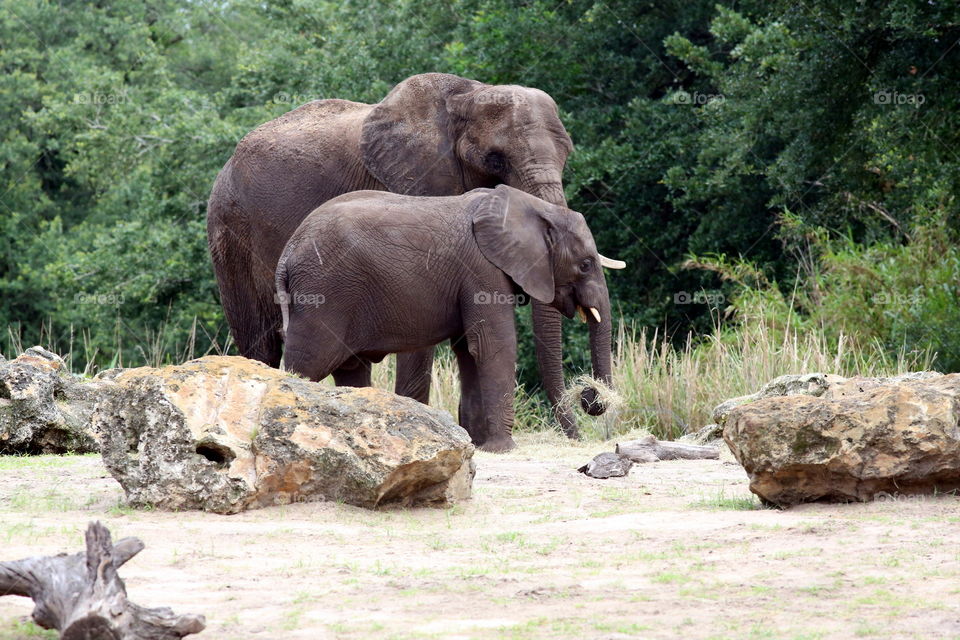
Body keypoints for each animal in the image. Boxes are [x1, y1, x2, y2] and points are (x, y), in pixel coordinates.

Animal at [276, 182, 616, 452]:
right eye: (585, 264)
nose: (590, 395)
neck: (534, 207)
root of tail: (288, 252)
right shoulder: (481, 270)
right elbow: (493, 345)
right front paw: (503, 449)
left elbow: (469, 351)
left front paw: (479, 445)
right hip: (324, 293)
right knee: (308, 361)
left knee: (350, 369)